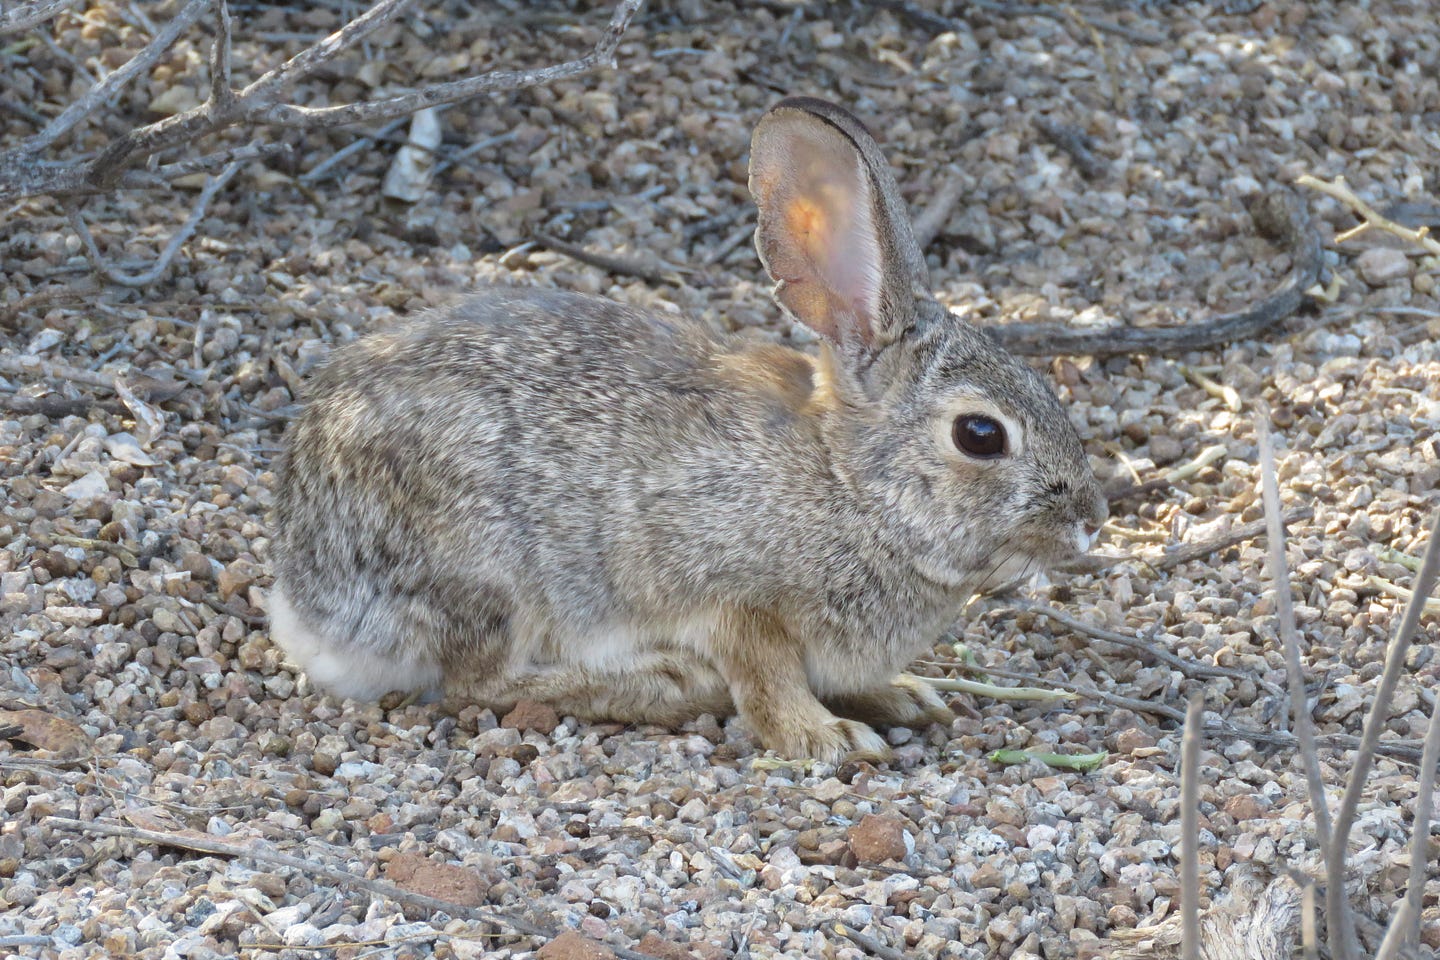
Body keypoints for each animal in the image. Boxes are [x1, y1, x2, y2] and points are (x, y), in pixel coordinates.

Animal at [268, 96, 1108, 764]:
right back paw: (665, 682)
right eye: (980, 435)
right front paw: (826, 737)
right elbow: (766, 680)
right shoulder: (736, 601)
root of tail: (304, 600)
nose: (1090, 520)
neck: (855, 489)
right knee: (474, 682)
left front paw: (907, 695)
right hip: (493, 576)